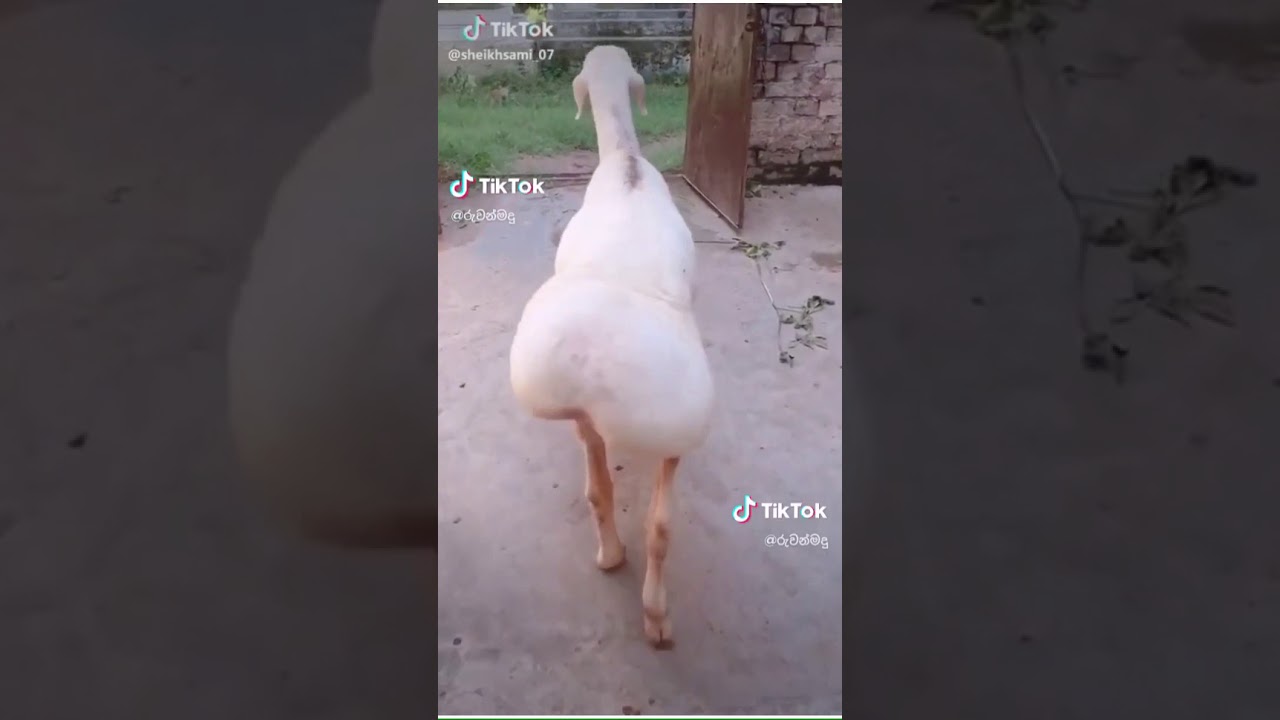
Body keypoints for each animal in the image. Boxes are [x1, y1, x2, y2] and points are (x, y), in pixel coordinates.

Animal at [508, 46, 715, 648]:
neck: (625, 162)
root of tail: (593, 377)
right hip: (672, 435)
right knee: (660, 524)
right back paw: (657, 617)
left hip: (581, 418)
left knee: (599, 490)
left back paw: (609, 557)